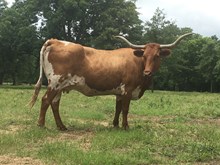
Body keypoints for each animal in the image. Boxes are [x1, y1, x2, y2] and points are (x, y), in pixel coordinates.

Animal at [29, 32, 192, 130]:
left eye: (157, 56)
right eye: (144, 55)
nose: (147, 72)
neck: (138, 63)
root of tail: (55, 41)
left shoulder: (119, 92)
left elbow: (117, 108)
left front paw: (115, 125)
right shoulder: (127, 90)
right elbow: (125, 109)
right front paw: (126, 127)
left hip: (60, 86)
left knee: (54, 104)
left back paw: (62, 126)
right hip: (55, 83)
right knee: (45, 100)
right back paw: (41, 124)